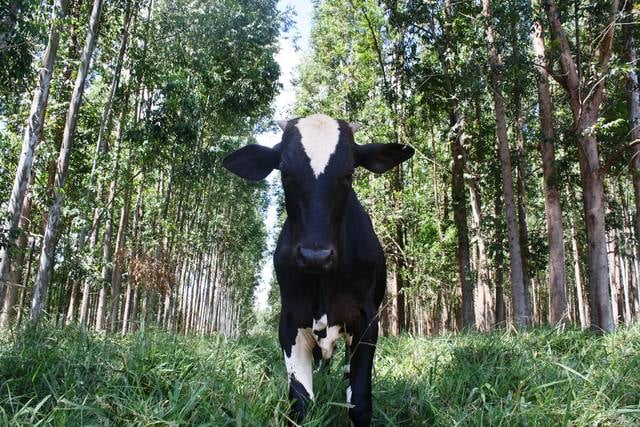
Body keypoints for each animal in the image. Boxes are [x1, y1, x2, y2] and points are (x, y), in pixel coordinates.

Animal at [224, 114, 416, 427]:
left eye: (349, 173)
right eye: (285, 172)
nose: (316, 256)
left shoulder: (367, 320)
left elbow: (359, 400)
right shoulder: (290, 319)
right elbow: (300, 400)